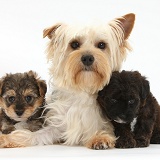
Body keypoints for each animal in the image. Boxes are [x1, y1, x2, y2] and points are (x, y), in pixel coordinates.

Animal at [0, 13, 135, 149]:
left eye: (101, 45)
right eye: (74, 44)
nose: (87, 58)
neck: (83, 89)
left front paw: (100, 138)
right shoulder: (57, 126)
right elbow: (31, 135)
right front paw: (5, 139)